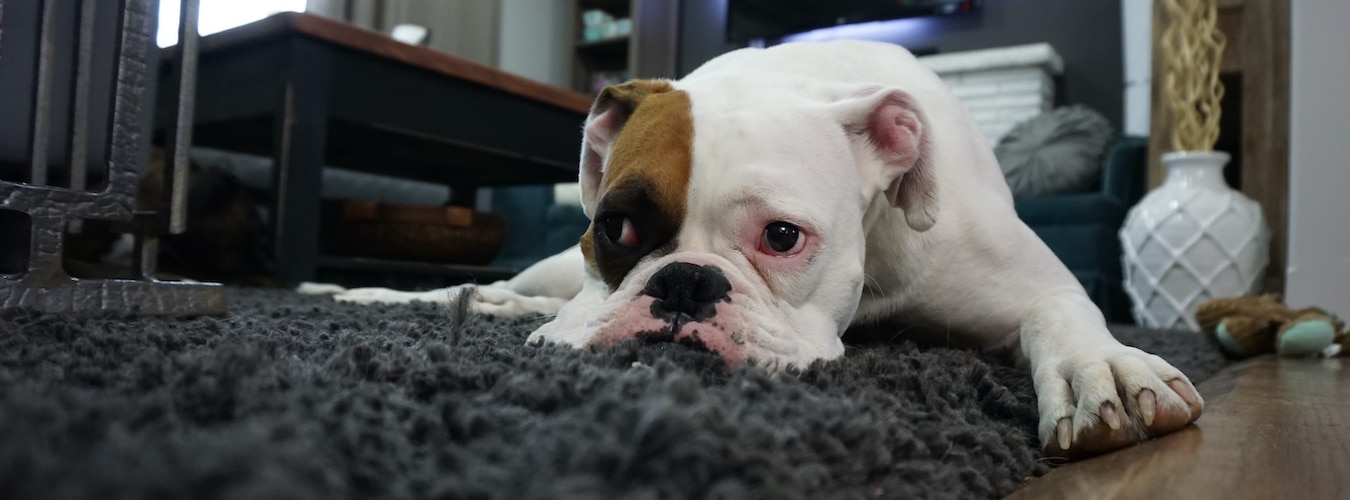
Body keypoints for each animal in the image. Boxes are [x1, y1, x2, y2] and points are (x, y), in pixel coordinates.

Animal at [318, 41, 1204, 459]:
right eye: (617, 227)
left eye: (782, 238)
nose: (683, 284)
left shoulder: (1036, 284)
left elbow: (1065, 317)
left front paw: (1103, 371)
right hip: (555, 265)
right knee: (512, 288)